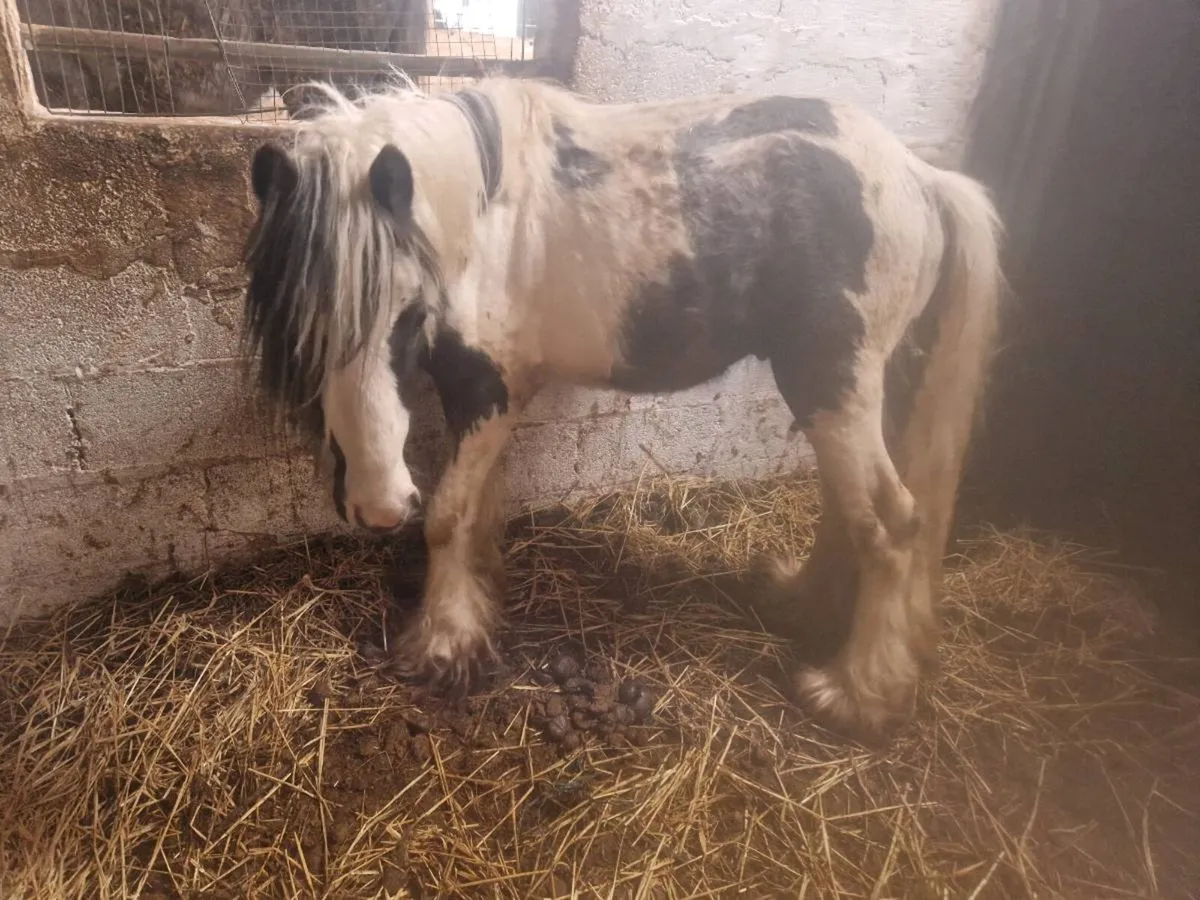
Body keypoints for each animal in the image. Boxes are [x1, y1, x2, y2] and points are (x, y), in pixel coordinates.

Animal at [240, 76, 1003, 741]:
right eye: (296, 332)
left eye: (407, 315)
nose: (376, 507)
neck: (483, 224)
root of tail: (918, 175)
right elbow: (477, 511)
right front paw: (476, 606)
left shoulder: (488, 391)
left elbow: (448, 517)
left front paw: (442, 644)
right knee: (852, 513)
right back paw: (801, 604)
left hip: (832, 385)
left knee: (891, 522)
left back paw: (856, 694)